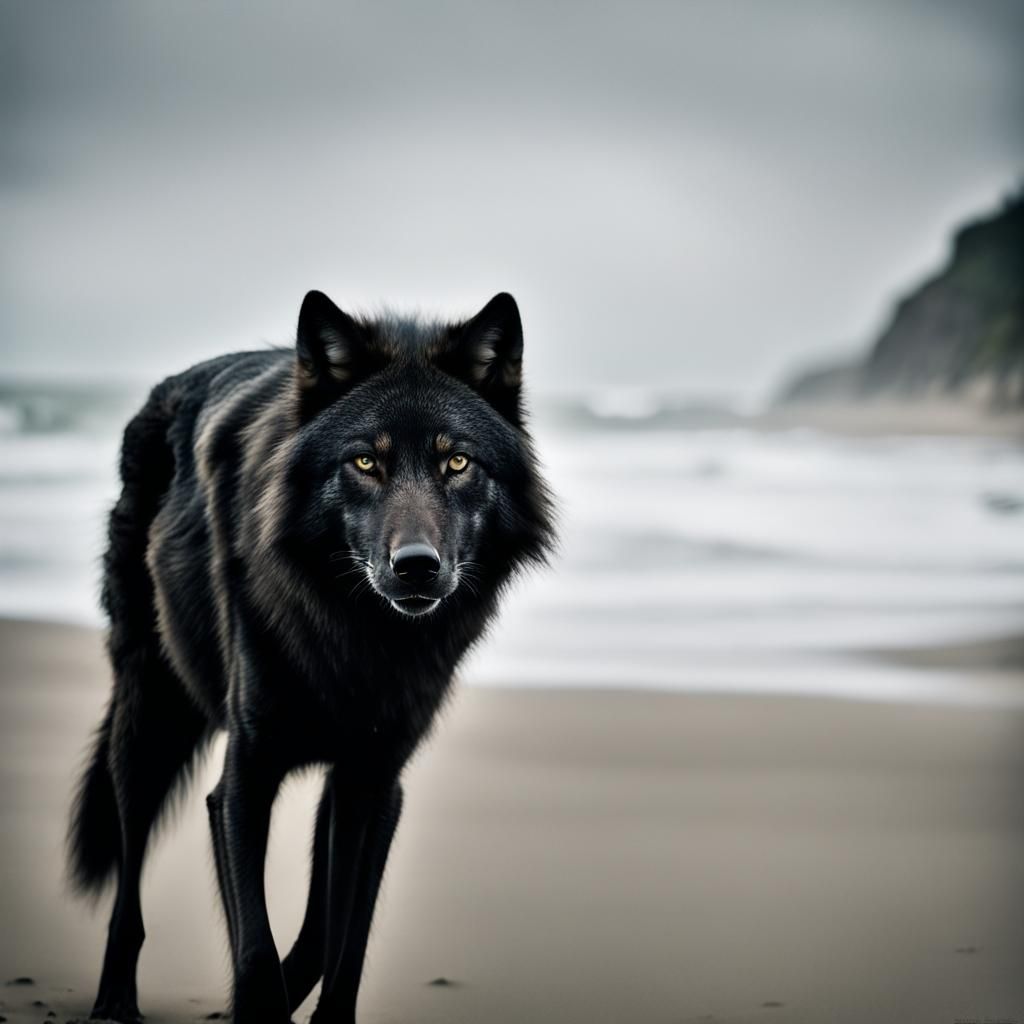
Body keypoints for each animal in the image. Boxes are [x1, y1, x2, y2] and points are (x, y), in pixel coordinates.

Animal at [67, 290, 554, 1024]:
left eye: (457, 462)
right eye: (365, 462)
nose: (416, 567)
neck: (359, 636)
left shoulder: (372, 781)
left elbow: (338, 936)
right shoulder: (244, 778)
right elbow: (256, 950)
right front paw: (256, 1000)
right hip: (149, 721)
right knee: (129, 878)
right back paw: (114, 1000)